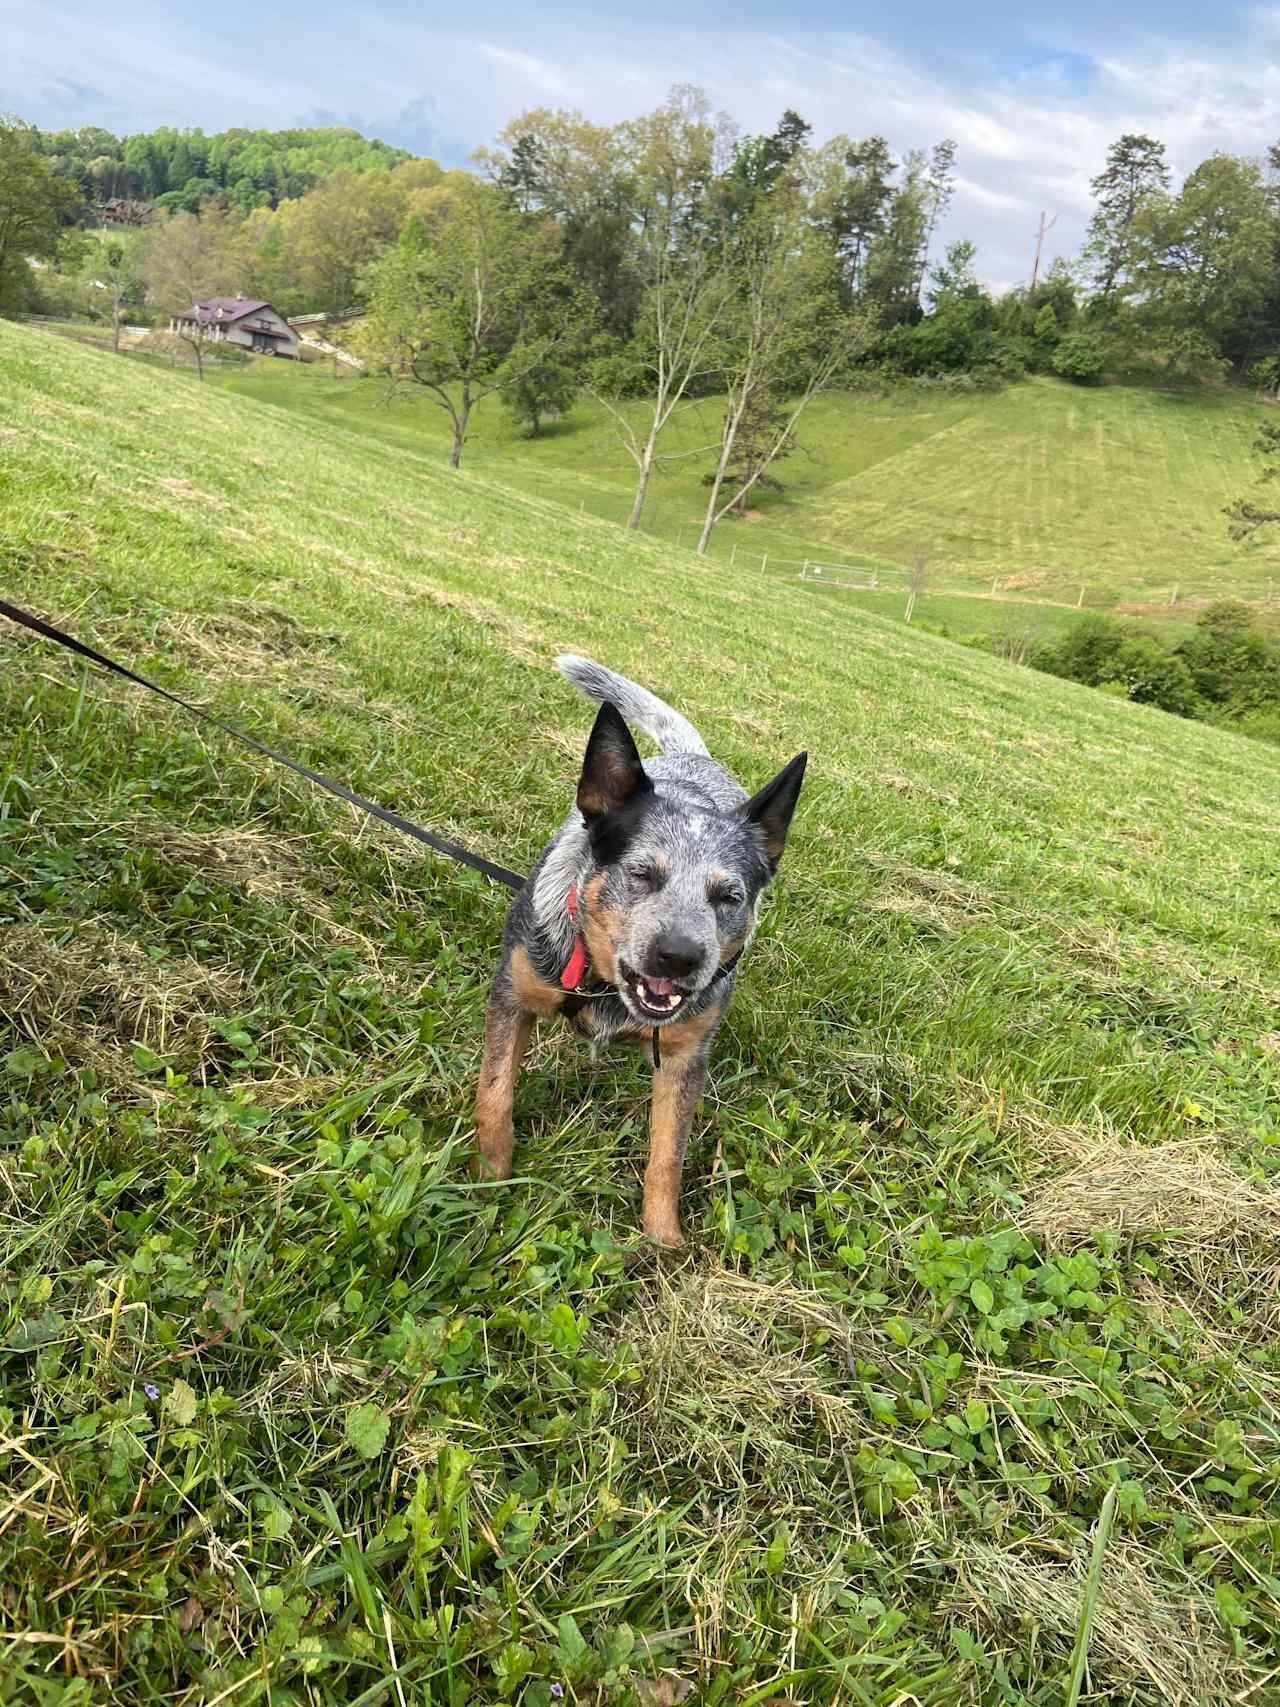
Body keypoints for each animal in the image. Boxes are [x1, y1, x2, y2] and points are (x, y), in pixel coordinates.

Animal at [477, 658, 805, 1249]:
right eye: (641, 873)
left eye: (729, 896)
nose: (680, 956)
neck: (604, 988)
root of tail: (695, 757)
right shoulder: (512, 995)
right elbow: (495, 1096)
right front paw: (487, 1182)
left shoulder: (685, 1056)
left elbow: (668, 1154)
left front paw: (662, 1240)